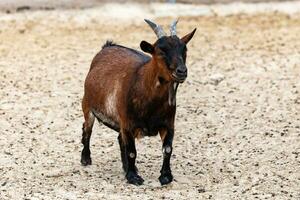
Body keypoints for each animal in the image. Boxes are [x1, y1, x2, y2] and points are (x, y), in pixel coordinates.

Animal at [81, 19, 196, 185]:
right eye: (160, 51)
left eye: (184, 49)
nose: (181, 71)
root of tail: (107, 46)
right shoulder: (128, 124)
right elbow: (131, 152)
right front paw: (133, 177)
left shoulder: (168, 124)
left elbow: (167, 149)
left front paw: (165, 176)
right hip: (87, 105)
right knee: (87, 128)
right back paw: (86, 159)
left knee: (119, 139)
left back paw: (126, 167)